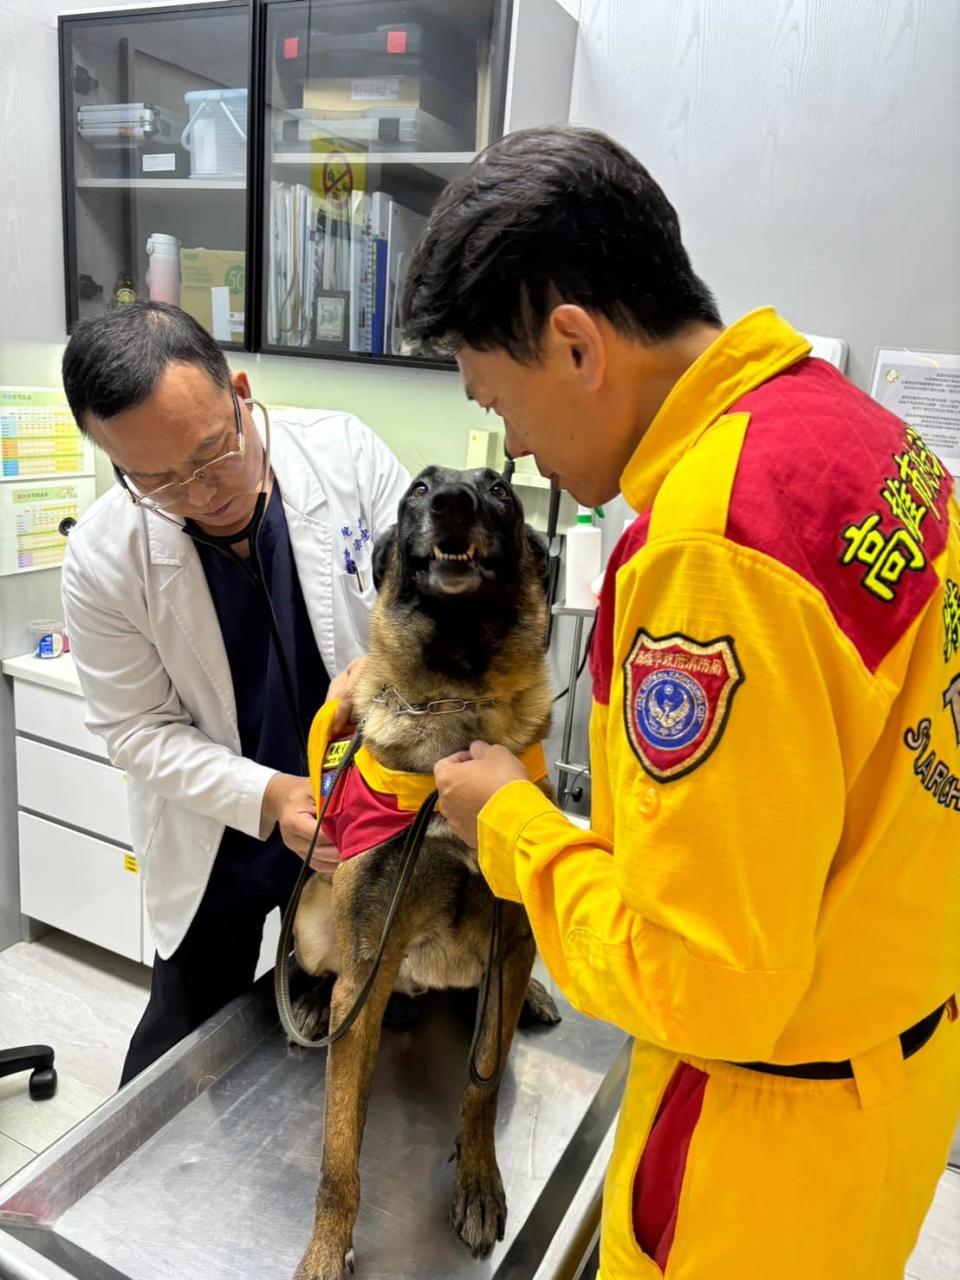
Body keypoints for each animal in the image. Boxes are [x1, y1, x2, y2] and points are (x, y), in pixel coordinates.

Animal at [296, 468, 560, 1280]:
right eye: (418, 489)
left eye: (501, 491)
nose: (453, 504)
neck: (457, 699)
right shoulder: (365, 969)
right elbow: (339, 1152)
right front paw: (326, 1247)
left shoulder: (509, 935)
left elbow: (481, 1087)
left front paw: (476, 1180)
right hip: (316, 924)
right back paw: (310, 1003)